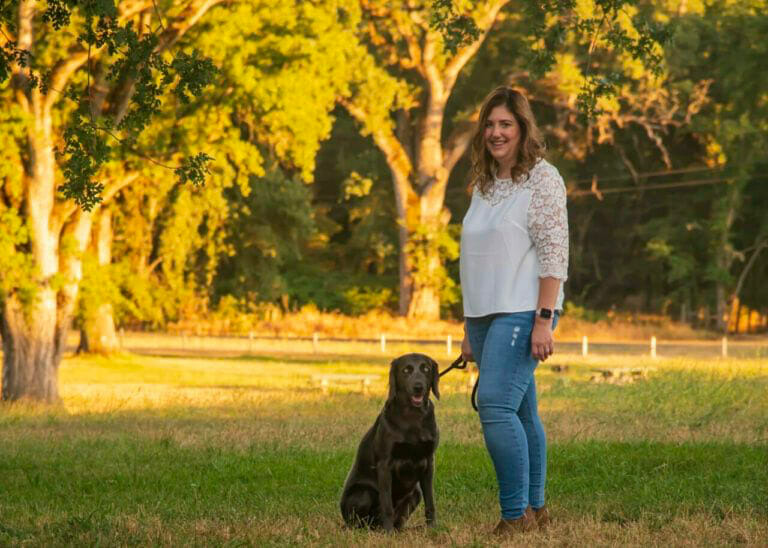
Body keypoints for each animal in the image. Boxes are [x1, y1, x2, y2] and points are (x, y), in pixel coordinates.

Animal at [340, 352, 440, 532]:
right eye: (406, 370)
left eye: (426, 369)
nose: (418, 387)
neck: (412, 416)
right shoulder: (385, 465)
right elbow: (387, 504)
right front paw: (388, 533)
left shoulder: (429, 462)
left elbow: (430, 502)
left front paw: (433, 528)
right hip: (364, 493)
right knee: (361, 522)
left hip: (415, 493)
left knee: (399, 519)